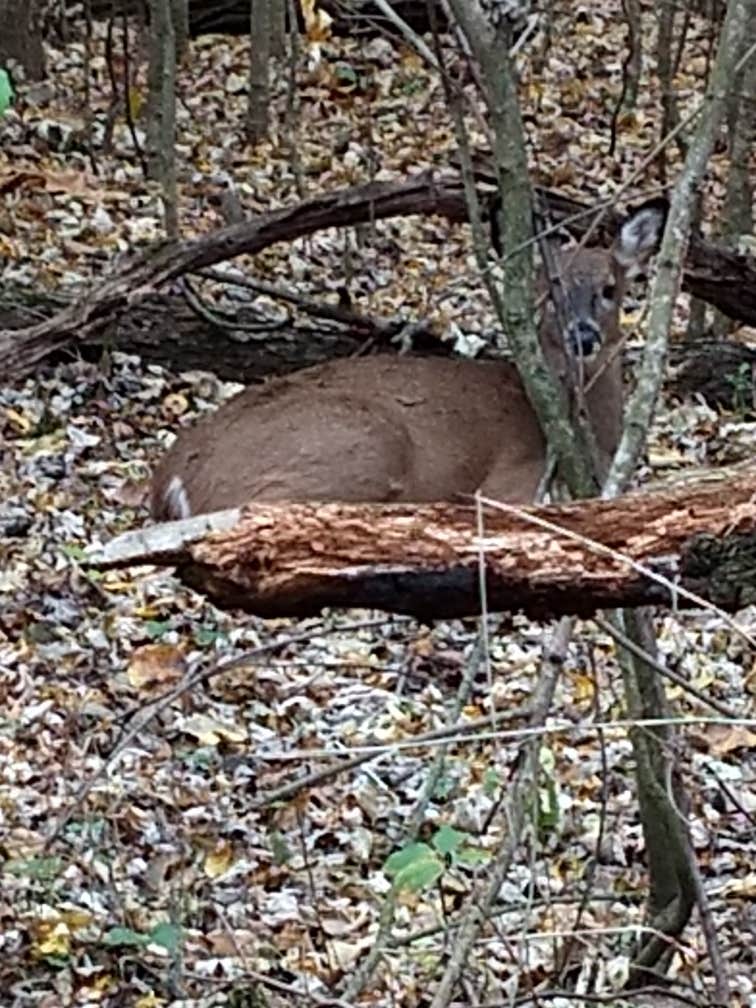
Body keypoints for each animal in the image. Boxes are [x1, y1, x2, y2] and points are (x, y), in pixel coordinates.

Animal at [151, 200, 665, 524]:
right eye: (546, 290)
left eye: (611, 288)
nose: (584, 336)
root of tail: (173, 477)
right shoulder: (512, 482)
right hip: (364, 440)